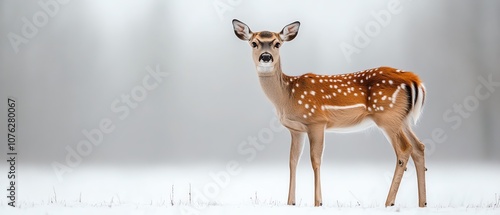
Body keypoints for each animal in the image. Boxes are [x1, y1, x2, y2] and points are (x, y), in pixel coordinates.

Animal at [232, 19, 428, 207]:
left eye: (277, 43)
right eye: (254, 43)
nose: (266, 57)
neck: (286, 97)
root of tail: (414, 80)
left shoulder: (316, 121)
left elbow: (315, 160)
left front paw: (318, 202)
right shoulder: (296, 129)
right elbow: (292, 161)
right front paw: (290, 202)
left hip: (387, 116)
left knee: (404, 149)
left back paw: (389, 202)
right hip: (403, 119)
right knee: (419, 147)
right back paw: (422, 203)